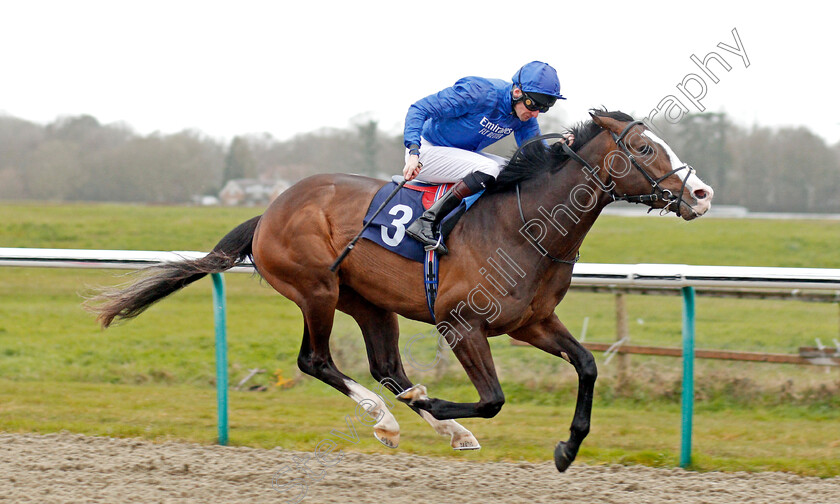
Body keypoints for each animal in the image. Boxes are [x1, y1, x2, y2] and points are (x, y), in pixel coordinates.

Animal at [87, 110, 716, 472]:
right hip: (316, 289)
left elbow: (587, 365)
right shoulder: (462, 323)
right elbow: (494, 398)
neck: (526, 225)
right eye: (644, 150)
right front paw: (435, 405)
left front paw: (567, 448)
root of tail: (270, 210)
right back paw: (389, 418)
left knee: (387, 365)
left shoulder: (531, 322)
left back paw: (441, 425)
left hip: (370, 303)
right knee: (316, 360)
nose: (702, 194)